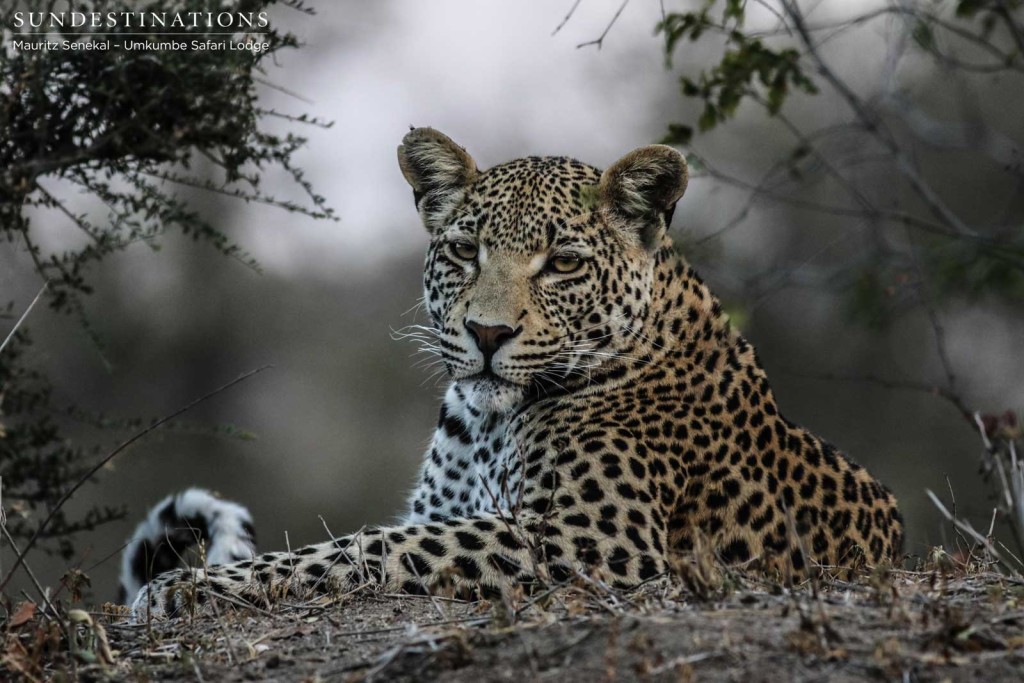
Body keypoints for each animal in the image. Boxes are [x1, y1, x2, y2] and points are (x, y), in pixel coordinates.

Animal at [125, 127, 905, 618]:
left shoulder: (595, 539)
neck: (484, 424)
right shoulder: (460, 508)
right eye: (464, 250)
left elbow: (373, 544)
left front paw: (185, 589)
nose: (487, 333)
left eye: (562, 263)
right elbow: (390, 535)